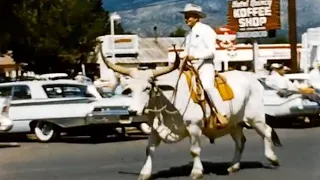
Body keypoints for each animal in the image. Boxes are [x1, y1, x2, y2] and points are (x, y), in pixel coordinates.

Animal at [98, 44, 282, 179]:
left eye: (147, 88)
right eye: (130, 89)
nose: (132, 111)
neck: (169, 99)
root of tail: (253, 77)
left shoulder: (194, 127)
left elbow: (194, 150)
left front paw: (196, 171)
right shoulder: (156, 129)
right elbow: (149, 149)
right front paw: (145, 172)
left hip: (255, 118)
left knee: (266, 132)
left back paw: (273, 159)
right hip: (234, 122)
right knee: (240, 141)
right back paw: (234, 166)